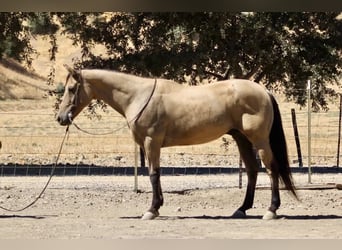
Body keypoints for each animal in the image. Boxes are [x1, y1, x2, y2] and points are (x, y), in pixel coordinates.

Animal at [56, 65, 296, 221]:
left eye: (71, 89)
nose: (61, 118)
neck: (138, 96)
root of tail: (263, 90)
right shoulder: (150, 145)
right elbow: (156, 173)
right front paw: (157, 206)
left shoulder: (151, 142)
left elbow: (153, 174)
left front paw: (151, 210)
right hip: (242, 138)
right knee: (252, 170)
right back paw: (242, 209)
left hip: (259, 140)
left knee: (271, 169)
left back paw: (271, 210)